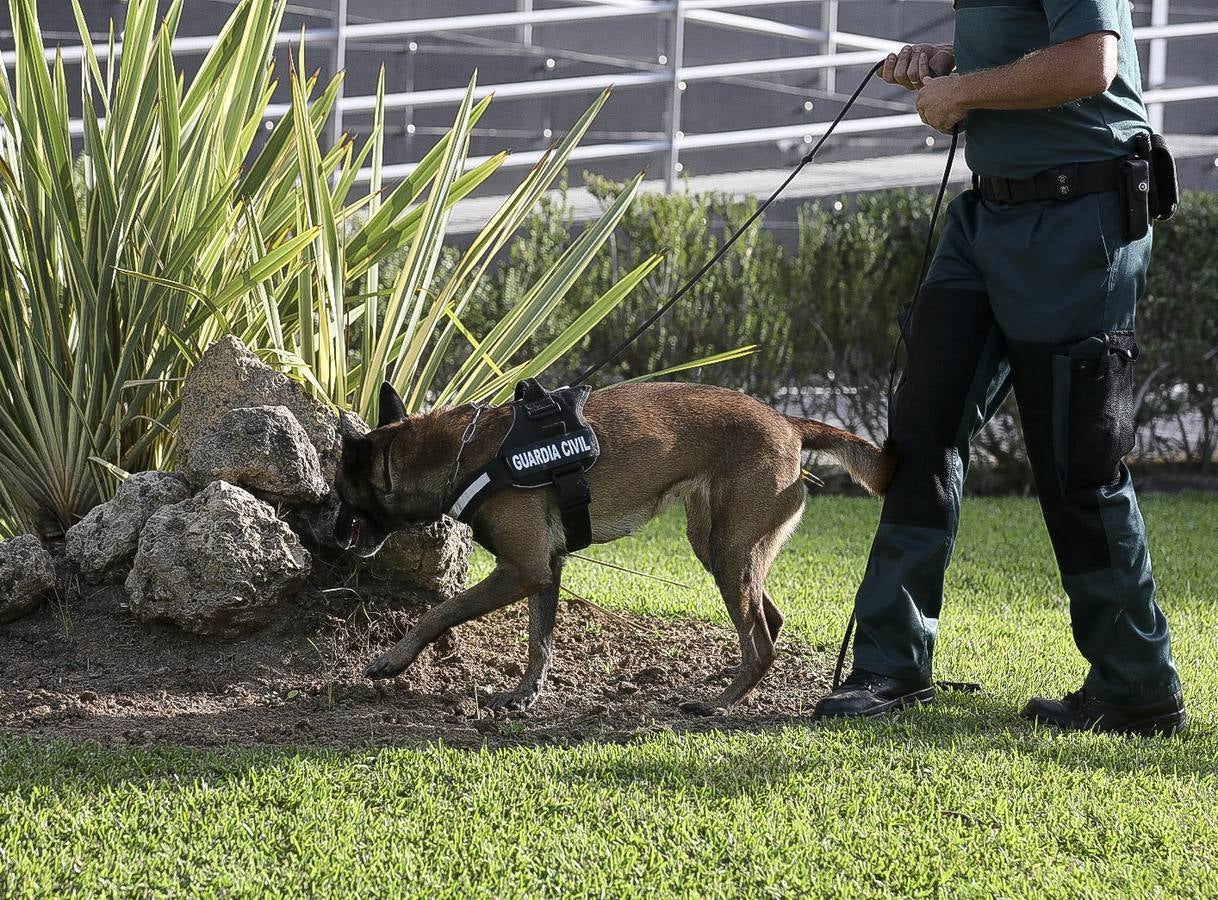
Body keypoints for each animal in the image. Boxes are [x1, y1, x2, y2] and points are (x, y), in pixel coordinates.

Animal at [336, 382, 896, 716]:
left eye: (342, 492)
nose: (333, 534)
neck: (464, 452)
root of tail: (790, 423)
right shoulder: (546, 569)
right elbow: (540, 641)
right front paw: (526, 694)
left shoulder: (521, 569)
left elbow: (440, 612)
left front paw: (392, 660)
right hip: (720, 546)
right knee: (767, 624)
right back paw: (732, 681)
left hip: (729, 550)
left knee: (760, 639)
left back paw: (719, 704)